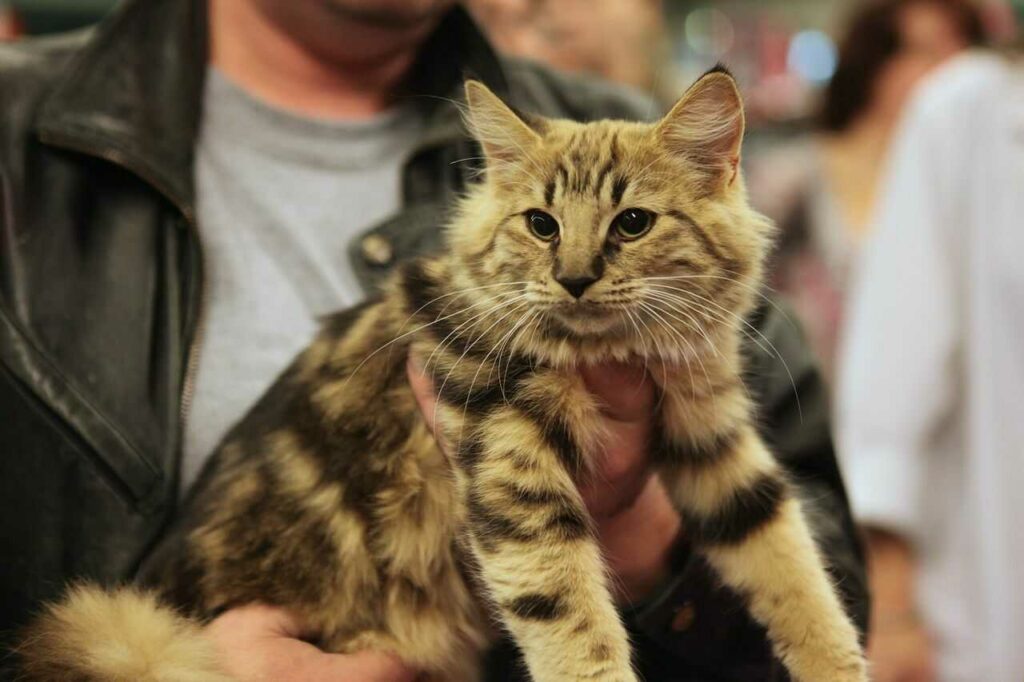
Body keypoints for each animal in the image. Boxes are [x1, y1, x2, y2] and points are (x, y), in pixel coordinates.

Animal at [18, 69, 864, 679]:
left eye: (633, 223)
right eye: (541, 224)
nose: (574, 279)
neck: (612, 353)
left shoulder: (713, 438)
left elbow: (793, 563)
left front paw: (837, 664)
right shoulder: (507, 459)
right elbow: (572, 623)